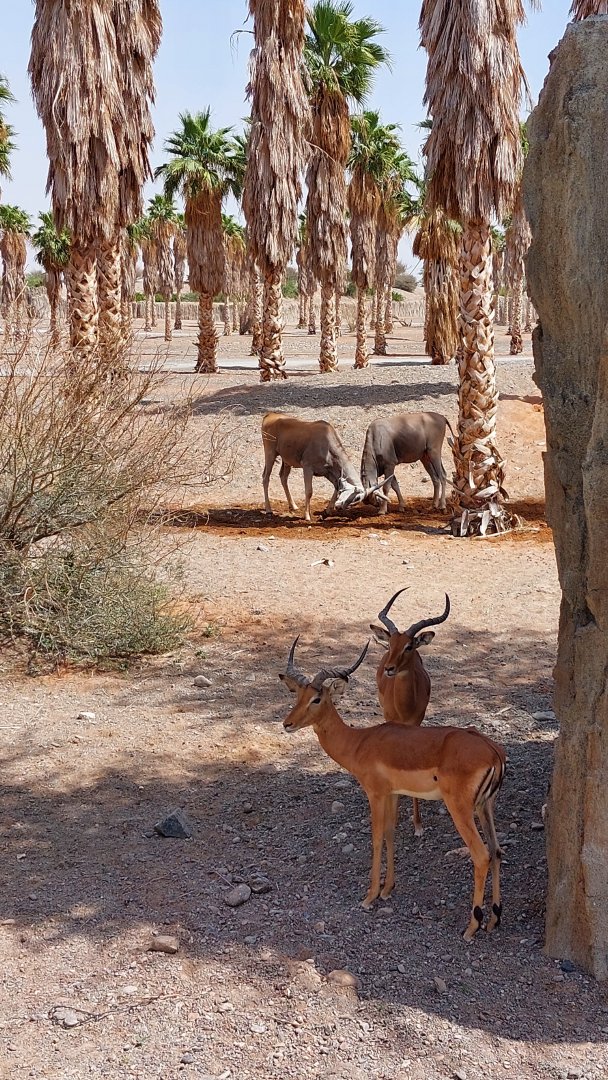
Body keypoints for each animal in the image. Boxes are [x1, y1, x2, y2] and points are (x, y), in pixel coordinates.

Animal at [280, 639, 506, 941]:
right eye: (298, 695)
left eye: (317, 698)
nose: (287, 724)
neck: (360, 742)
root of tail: (493, 752)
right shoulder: (394, 793)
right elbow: (390, 833)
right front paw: (387, 890)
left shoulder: (375, 794)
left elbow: (376, 837)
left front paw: (370, 896)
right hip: (485, 807)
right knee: (496, 850)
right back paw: (494, 919)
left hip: (460, 809)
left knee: (481, 855)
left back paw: (471, 927)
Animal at [371, 588, 451, 836]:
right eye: (390, 643)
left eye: (409, 646)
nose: (390, 669)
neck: (404, 706)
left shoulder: (416, 726)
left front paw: (417, 825)